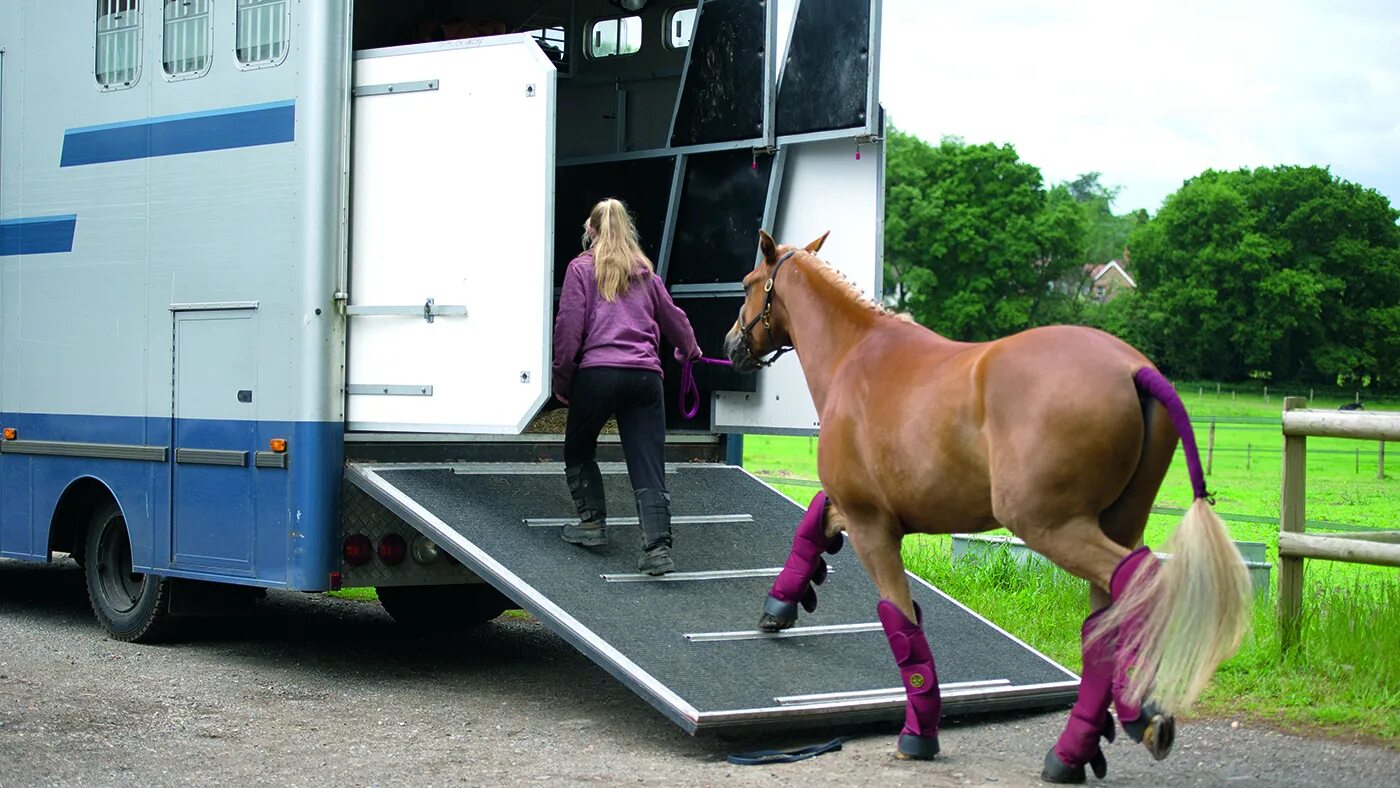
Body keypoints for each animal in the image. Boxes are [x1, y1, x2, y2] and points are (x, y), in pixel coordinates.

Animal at [728, 229, 1254, 783]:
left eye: (747, 283)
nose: (731, 344)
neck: (857, 354)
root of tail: (1135, 370)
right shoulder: (859, 508)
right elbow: (816, 518)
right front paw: (780, 603)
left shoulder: (873, 528)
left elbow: (903, 626)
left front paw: (919, 735)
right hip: (1116, 524)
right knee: (1106, 623)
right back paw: (1073, 752)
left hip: (1053, 527)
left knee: (1143, 582)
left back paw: (1139, 714)